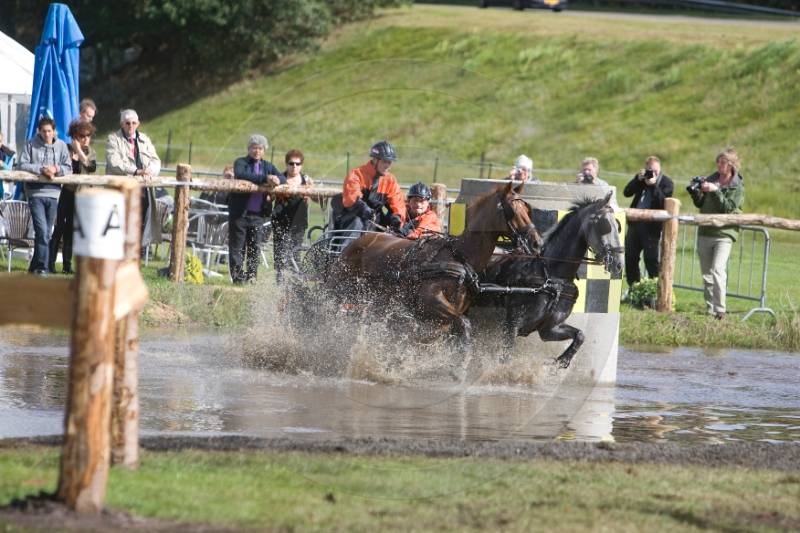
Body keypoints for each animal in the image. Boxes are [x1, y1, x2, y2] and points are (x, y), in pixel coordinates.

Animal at [328, 182, 542, 347]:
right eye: (513, 211)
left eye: (528, 210)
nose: (537, 243)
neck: (459, 257)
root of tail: (355, 243)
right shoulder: (430, 301)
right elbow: (464, 324)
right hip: (339, 291)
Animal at [475, 191, 624, 368]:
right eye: (605, 225)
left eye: (618, 226)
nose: (618, 264)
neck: (551, 276)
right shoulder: (511, 326)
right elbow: (505, 357)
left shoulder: (549, 329)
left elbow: (580, 335)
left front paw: (560, 362)